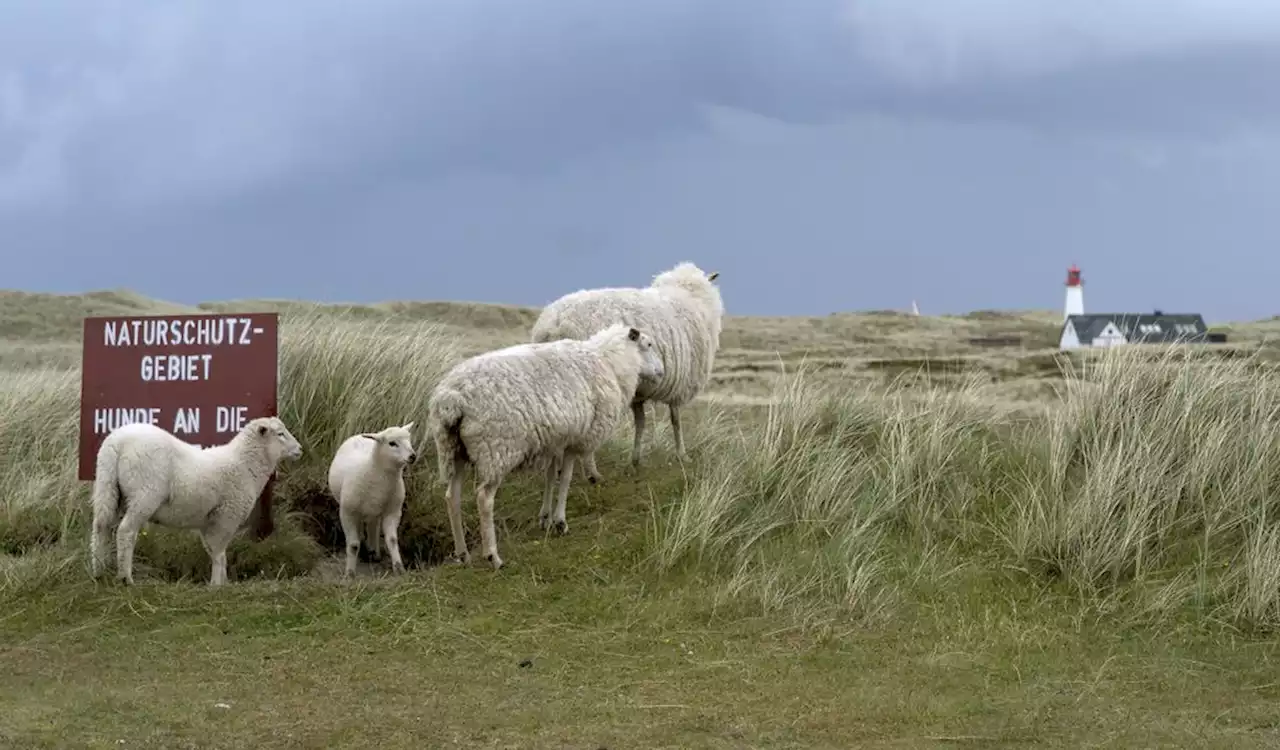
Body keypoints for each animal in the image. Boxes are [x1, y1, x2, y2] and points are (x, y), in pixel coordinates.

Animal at [88, 414, 303, 583]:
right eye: (280, 434)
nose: (300, 449)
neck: (244, 464)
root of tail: (117, 442)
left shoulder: (209, 520)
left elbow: (213, 550)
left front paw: (222, 582)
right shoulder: (226, 515)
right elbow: (219, 553)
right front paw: (217, 585)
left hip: (108, 486)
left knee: (101, 527)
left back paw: (99, 572)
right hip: (144, 494)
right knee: (126, 531)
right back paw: (125, 578)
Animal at [327, 422, 417, 575]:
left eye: (409, 439)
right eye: (392, 443)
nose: (412, 456)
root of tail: (359, 435)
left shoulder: (393, 511)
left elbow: (392, 540)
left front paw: (399, 567)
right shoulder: (347, 513)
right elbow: (353, 545)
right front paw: (350, 573)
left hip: (376, 510)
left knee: (373, 525)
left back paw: (374, 552)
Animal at [432, 321, 670, 565]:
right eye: (648, 345)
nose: (662, 372)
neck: (610, 362)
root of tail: (452, 399)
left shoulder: (555, 440)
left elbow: (550, 477)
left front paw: (545, 517)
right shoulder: (577, 438)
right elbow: (565, 479)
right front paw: (560, 521)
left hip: (452, 449)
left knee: (452, 496)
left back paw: (462, 553)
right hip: (496, 450)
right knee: (484, 499)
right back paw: (493, 556)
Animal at [527, 259, 727, 481]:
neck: (688, 297)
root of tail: (554, 324)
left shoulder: (639, 389)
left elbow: (640, 422)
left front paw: (636, 459)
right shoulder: (680, 384)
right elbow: (676, 420)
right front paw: (682, 454)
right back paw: (592, 472)